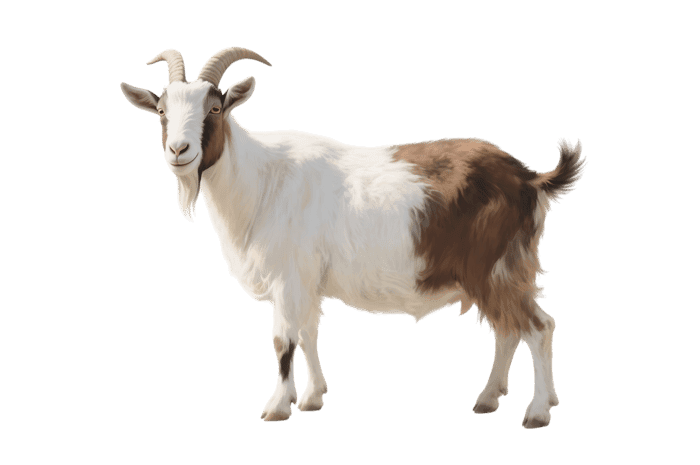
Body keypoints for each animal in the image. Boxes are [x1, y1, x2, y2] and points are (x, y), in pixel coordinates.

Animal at [120, 46, 586, 428]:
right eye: (160, 112)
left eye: (216, 108)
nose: (179, 151)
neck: (262, 183)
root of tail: (530, 178)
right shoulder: (307, 283)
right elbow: (309, 333)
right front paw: (312, 398)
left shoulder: (289, 278)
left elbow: (283, 341)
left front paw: (277, 407)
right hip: (490, 273)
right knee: (507, 331)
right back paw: (489, 399)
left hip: (496, 266)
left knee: (537, 327)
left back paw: (537, 411)